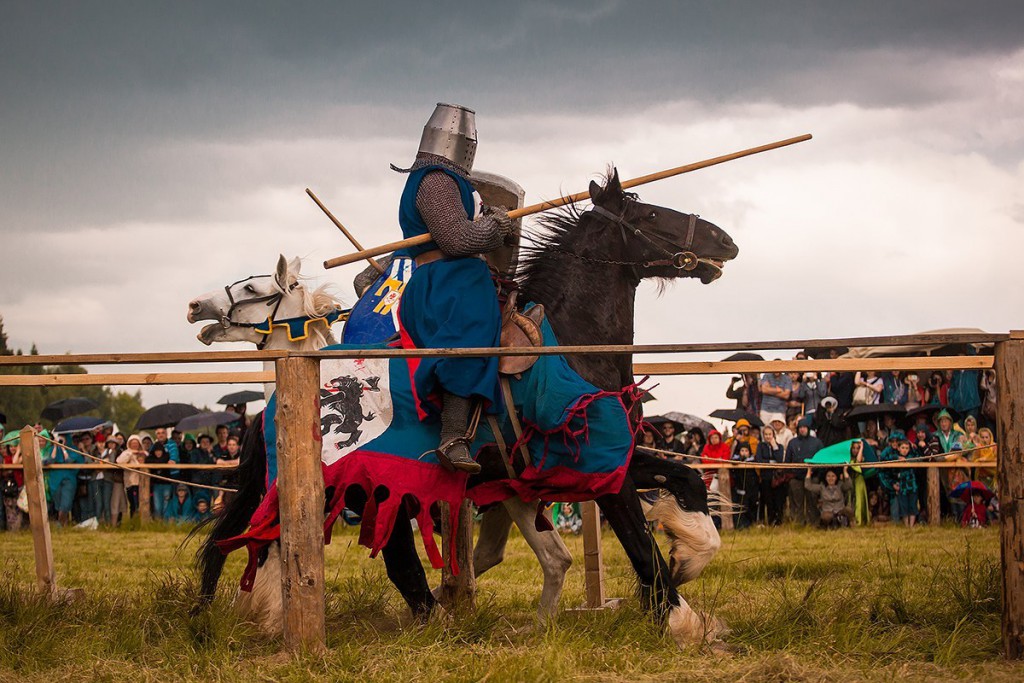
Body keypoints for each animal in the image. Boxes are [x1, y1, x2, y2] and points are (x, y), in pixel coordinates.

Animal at [189, 169, 738, 646]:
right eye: (649, 215)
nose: (724, 240)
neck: (569, 347)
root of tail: (274, 408)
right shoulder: (597, 470)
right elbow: (640, 546)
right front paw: (683, 619)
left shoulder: (605, 457)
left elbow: (687, 481)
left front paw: (690, 555)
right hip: (363, 486)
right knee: (348, 551)